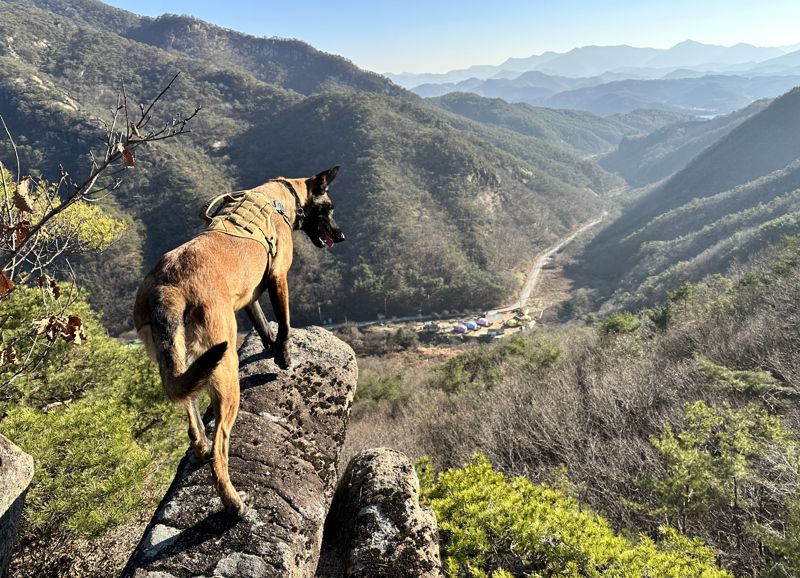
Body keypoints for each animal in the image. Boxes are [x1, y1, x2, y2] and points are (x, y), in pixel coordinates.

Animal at [134, 165, 344, 512]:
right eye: (328, 208)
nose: (341, 236)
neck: (280, 197)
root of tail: (168, 288)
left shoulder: (250, 296)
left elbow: (262, 324)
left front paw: (271, 347)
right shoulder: (278, 278)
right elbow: (284, 324)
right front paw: (284, 355)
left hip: (180, 360)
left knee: (190, 415)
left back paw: (200, 446)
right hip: (225, 370)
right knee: (220, 446)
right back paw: (232, 501)